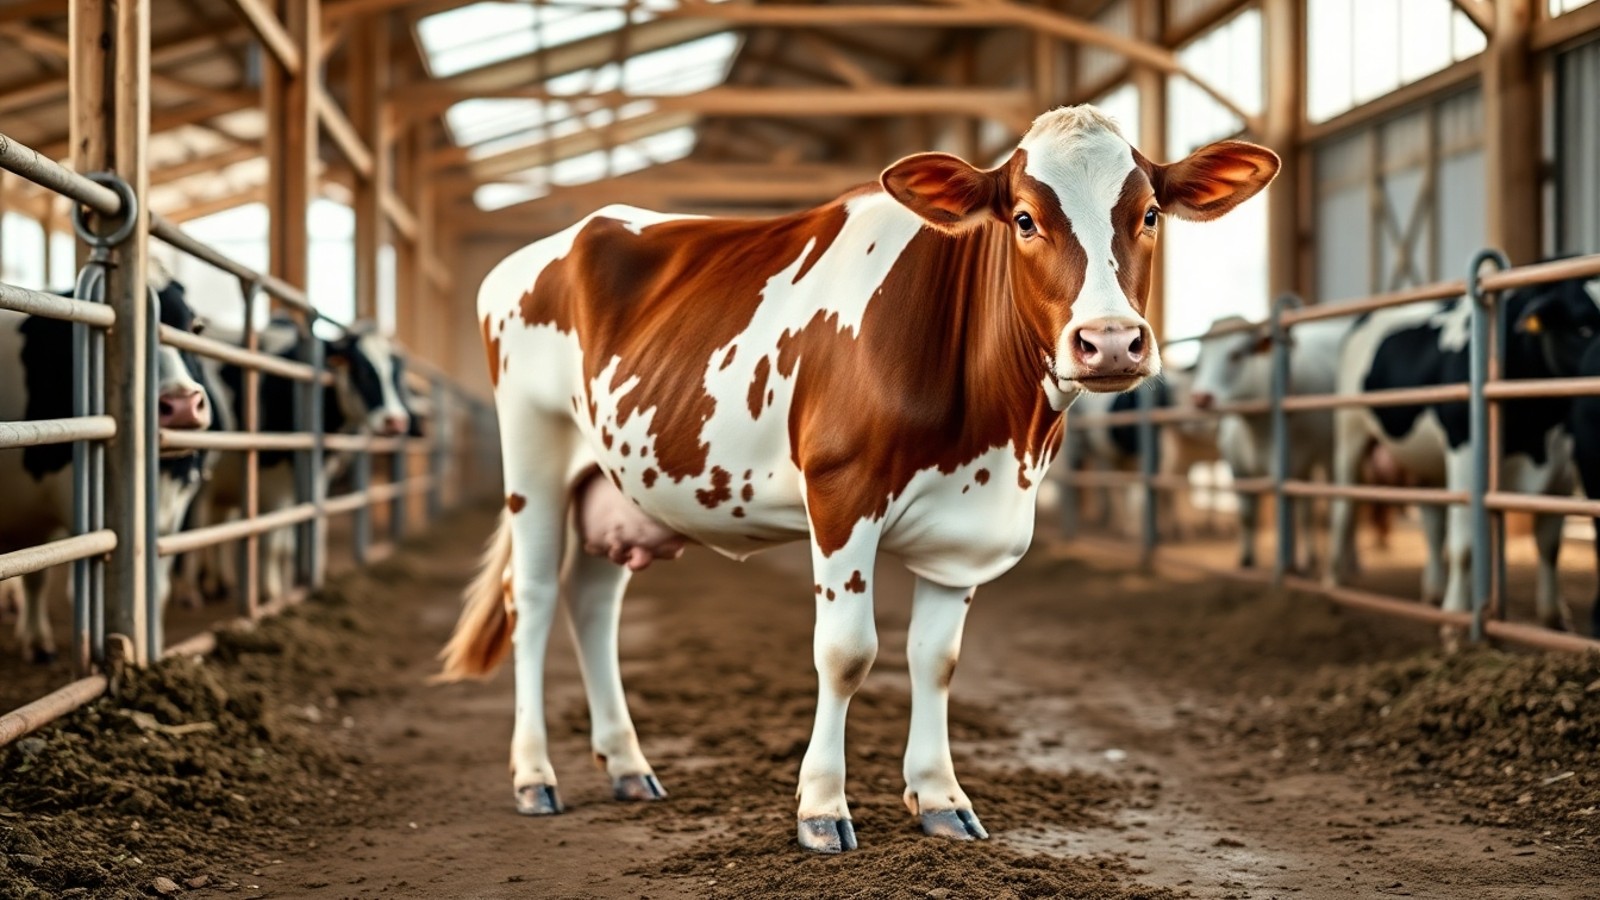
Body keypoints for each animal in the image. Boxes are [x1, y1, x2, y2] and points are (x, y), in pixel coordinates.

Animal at [184, 318, 413, 604]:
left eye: (396, 376)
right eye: (362, 370)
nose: (396, 421)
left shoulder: (311, 480)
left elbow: (288, 543)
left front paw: (285, 589)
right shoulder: (274, 480)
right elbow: (272, 543)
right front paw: (270, 595)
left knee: (216, 527)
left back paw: (218, 582)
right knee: (193, 530)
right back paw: (193, 592)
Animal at [435, 106, 1277, 853]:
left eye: (1150, 215)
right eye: (1025, 218)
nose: (1109, 342)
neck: (997, 436)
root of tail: (572, 232)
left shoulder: (968, 527)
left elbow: (935, 660)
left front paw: (941, 799)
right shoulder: (843, 493)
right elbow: (846, 653)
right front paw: (820, 811)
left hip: (620, 482)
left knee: (593, 603)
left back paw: (628, 765)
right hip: (534, 457)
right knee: (533, 602)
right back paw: (534, 777)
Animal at [1188, 314, 1353, 573]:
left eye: (1236, 354)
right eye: (1201, 359)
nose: (1200, 398)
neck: (1253, 429)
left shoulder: (1284, 469)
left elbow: (1285, 517)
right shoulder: (1238, 469)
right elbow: (1247, 515)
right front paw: (1246, 561)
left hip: (1332, 454)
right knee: (1307, 510)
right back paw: (1310, 557)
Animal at [1326, 274, 1600, 643]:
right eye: (1583, 327)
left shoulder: (1561, 468)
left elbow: (1549, 544)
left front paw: (1554, 619)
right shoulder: (1464, 450)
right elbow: (1465, 546)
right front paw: (1457, 622)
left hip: (1427, 465)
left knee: (1431, 524)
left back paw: (1433, 594)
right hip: (1349, 433)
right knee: (1343, 510)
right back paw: (1334, 590)